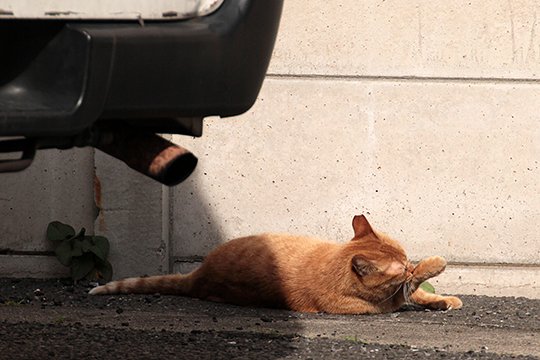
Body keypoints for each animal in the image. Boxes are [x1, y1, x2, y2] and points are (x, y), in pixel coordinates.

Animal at [88, 215, 460, 314]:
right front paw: (433, 264)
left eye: (406, 255)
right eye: (402, 265)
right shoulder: (389, 302)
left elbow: (422, 295)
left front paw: (444, 299)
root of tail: (200, 275)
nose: (409, 264)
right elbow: (412, 287)